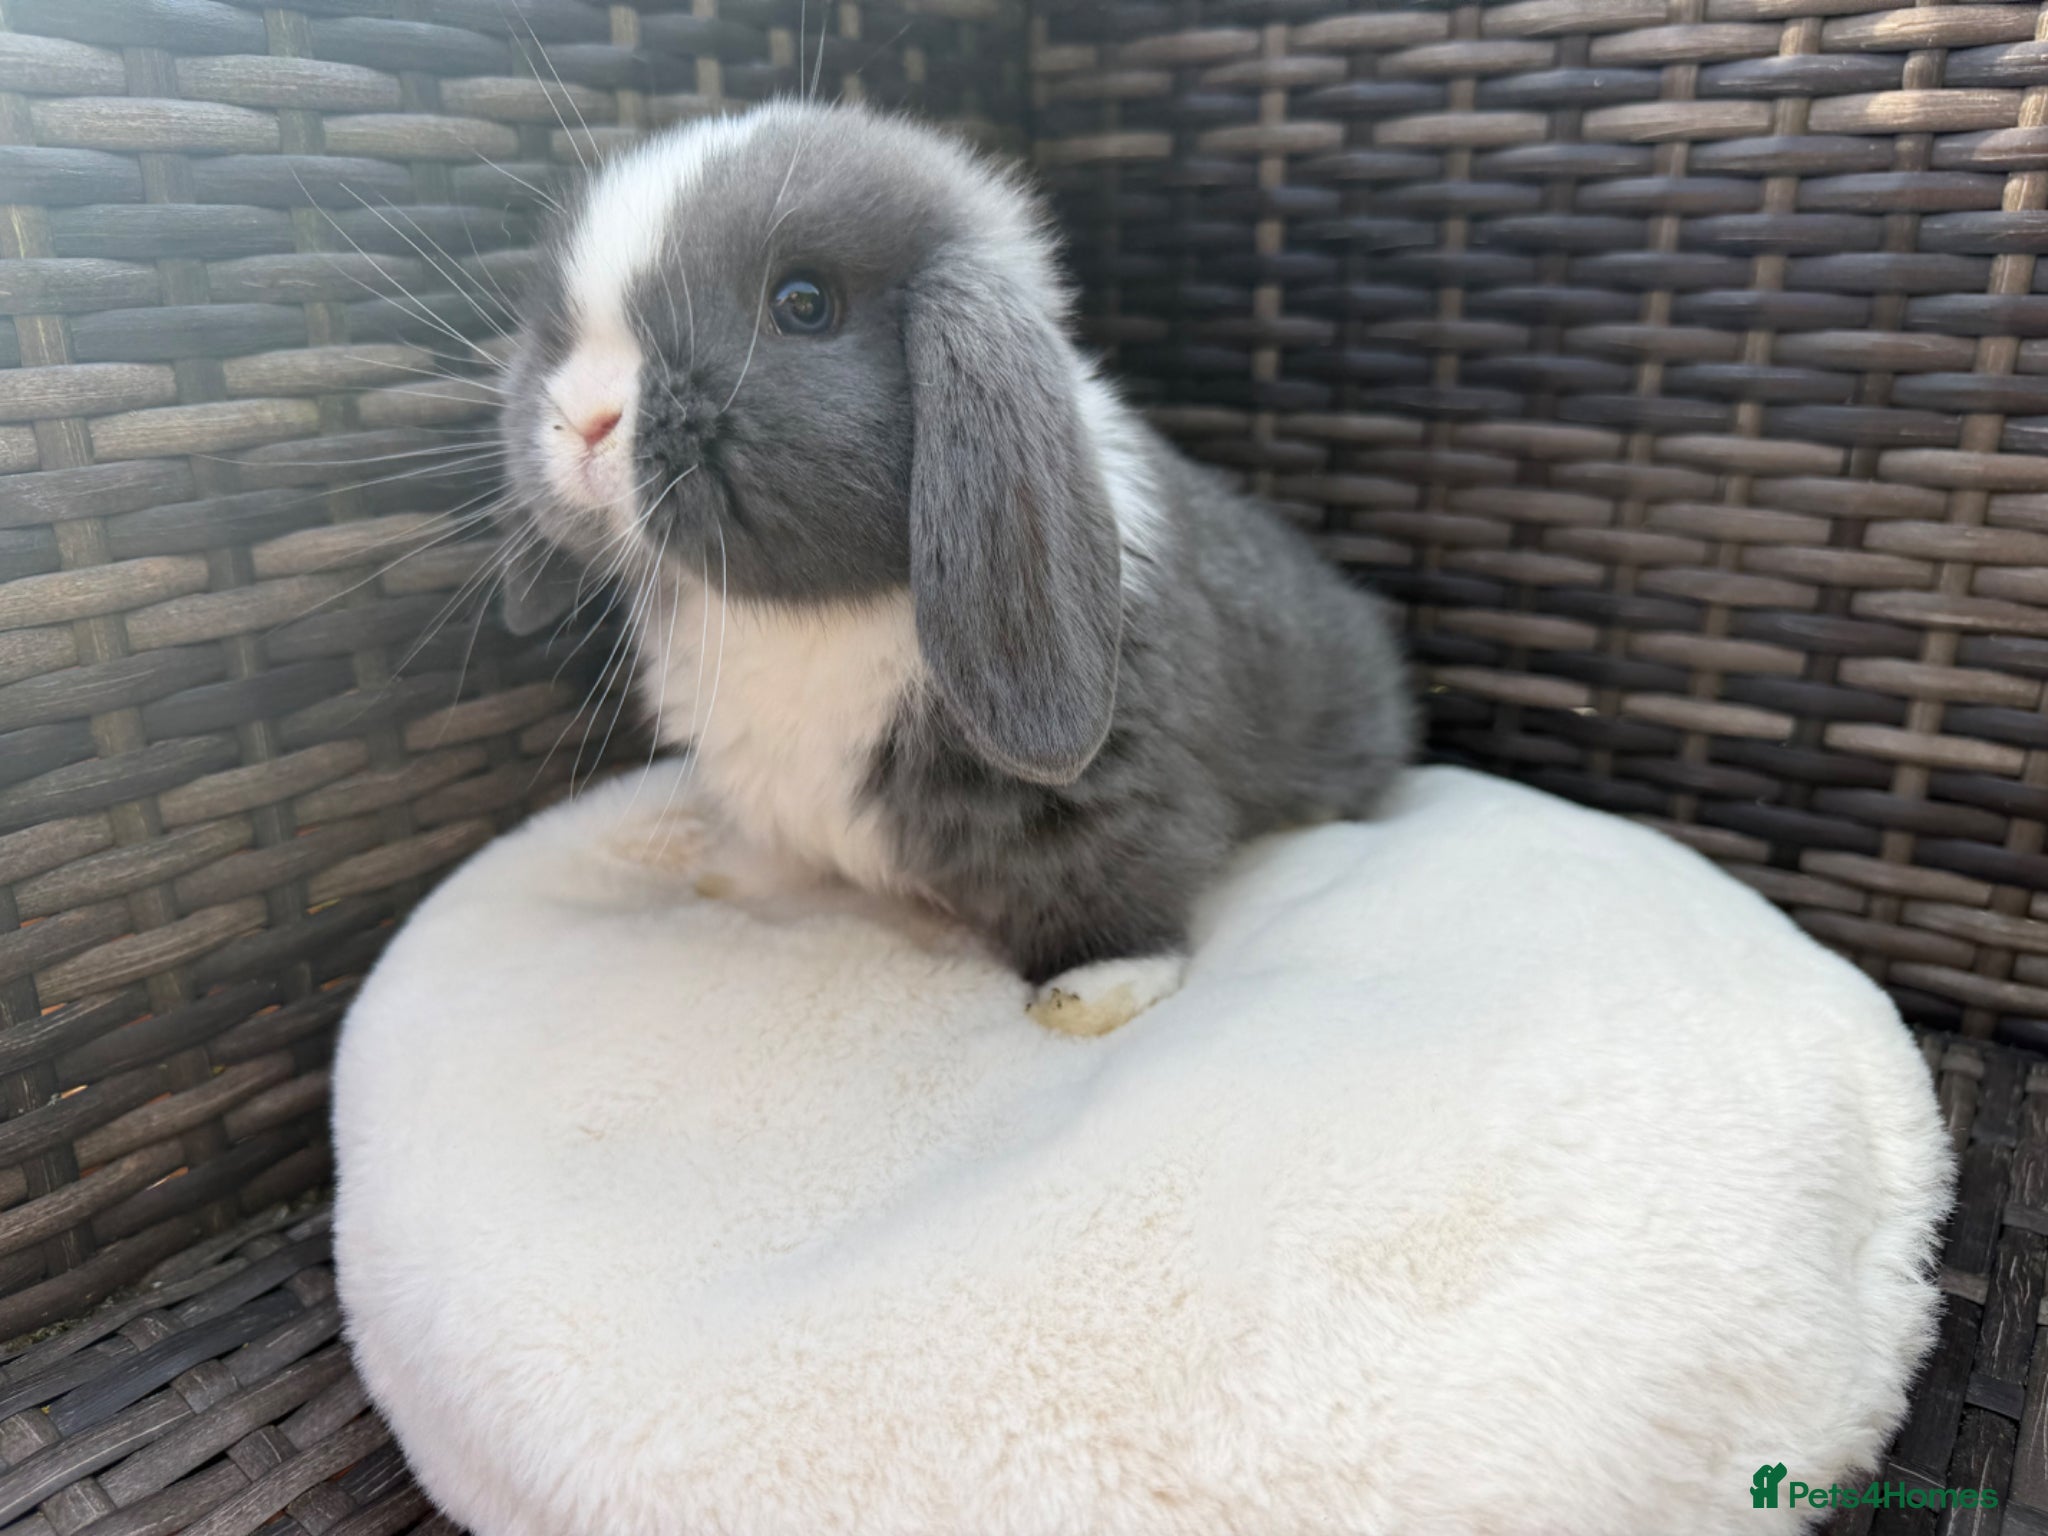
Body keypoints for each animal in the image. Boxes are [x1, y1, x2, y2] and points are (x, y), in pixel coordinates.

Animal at [495, 100, 1414, 1037]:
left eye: (803, 304)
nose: (585, 416)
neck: (806, 613)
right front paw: (731, 876)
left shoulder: (1101, 791)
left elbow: (1110, 882)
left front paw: (1092, 994)